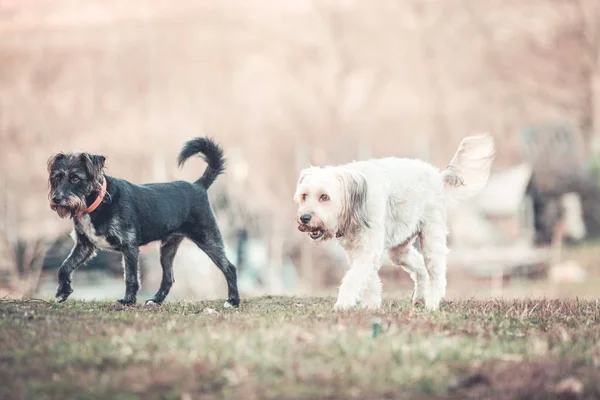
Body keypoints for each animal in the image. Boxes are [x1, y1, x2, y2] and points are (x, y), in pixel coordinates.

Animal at [47, 137, 239, 306]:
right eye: (57, 177)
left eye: (75, 178)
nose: (56, 199)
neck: (98, 202)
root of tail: (198, 186)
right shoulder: (84, 246)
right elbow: (64, 267)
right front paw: (62, 292)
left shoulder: (129, 246)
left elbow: (131, 277)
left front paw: (128, 301)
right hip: (167, 248)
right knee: (168, 278)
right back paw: (156, 300)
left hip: (208, 238)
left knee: (229, 268)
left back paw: (233, 301)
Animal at [292, 134, 494, 310]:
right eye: (304, 196)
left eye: (324, 197)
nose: (305, 218)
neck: (355, 204)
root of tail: (438, 175)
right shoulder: (359, 251)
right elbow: (370, 280)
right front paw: (371, 306)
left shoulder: (368, 250)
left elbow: (353, 279)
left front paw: (343, 304)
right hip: (399, 249)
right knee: (420, 268)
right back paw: (420, 297)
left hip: (431, 238)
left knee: (436, 273)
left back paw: (432, 304)